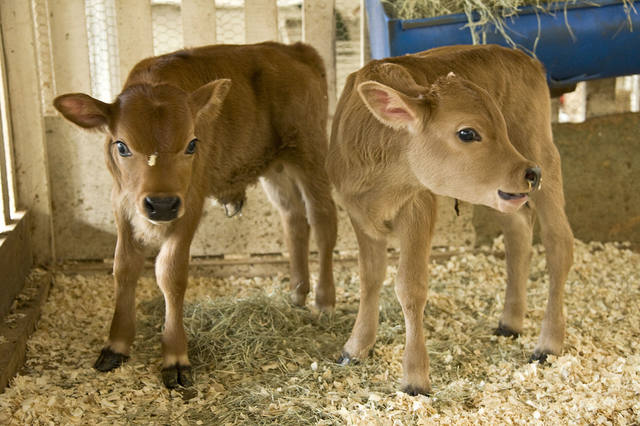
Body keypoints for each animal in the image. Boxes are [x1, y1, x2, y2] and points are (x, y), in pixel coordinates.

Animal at [53, 41, 340, 388]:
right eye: (121, 146)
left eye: (192, 144)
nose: (162, 204)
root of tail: (294, 50)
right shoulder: (121, 203)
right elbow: (124, 267)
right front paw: (116, 345)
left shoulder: (189, 203)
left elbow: (170, 273)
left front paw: (175, 356)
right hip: (277, 169)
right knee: (294, 219)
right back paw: (297, 292)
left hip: (309, 154)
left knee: (323, 219)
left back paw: (324, 300)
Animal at [328, 44, 572, 396]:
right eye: (467, 132)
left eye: (500, 125)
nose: (531, 173)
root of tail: (521, 57)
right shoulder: (358, 214)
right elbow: (369, 277)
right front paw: (356, 347)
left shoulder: (419, 207)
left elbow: (410, 287)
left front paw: (415, 377)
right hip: (502, 192)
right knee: (518, 232)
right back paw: (510, 322)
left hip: (541, 150)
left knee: (558, 243)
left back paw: (548, 344)